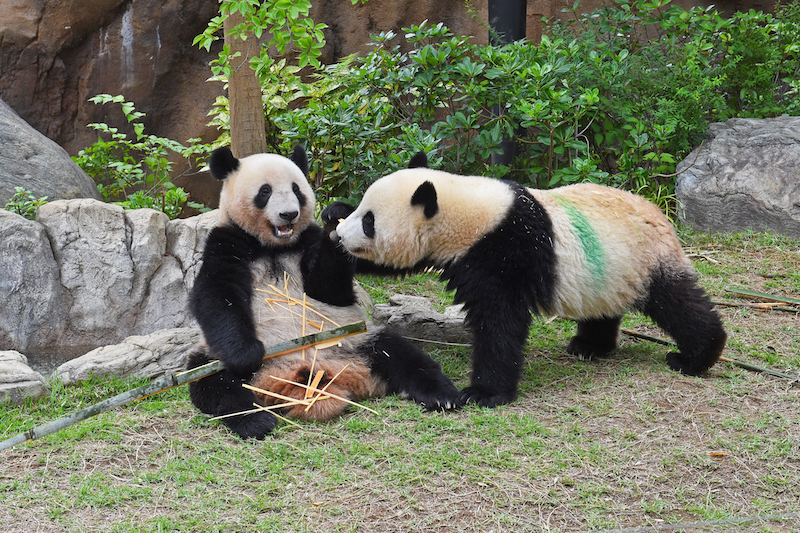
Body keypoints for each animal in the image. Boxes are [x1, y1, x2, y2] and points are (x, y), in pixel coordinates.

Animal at [187, 145, 460, 436]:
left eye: (296, 189)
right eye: (265, 191)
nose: (289, 214)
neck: (272, 246)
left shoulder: (307, 241)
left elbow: (328, 289)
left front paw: (335, 218)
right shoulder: (227, 242)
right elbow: (217, 297)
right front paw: (246, 355)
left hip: (358, 340)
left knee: (403, 355)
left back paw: (442, 395)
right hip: (213, 359)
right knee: (218, 385)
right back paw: (255, 420)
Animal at [332, 153, 724, 408]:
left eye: (369, 221)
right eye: (361, 211)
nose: (340, 235)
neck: (469, 214)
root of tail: (661, 214)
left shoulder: (504, 251)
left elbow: (500, 321)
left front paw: (484, 393)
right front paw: (331, 218)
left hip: (645, 258)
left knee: (678, 303)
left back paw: (695, 357)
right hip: (604, 271)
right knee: (603, 306)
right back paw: (589, 346)